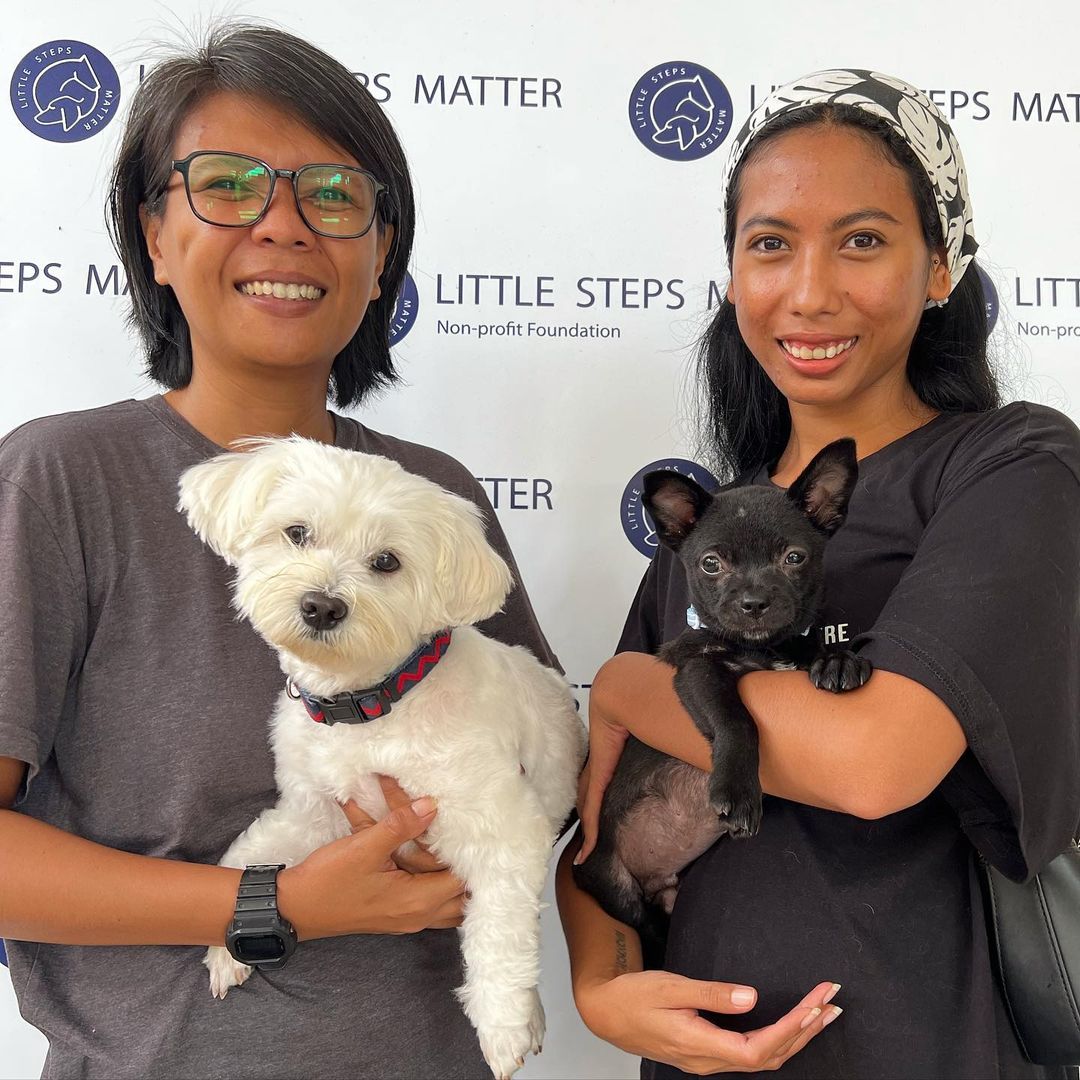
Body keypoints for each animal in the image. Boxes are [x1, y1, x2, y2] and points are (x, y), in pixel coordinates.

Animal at [179, 434, 583, 1075]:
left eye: (387, 562)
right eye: (297, 532)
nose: (321, 606)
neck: (372, 707)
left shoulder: (503, 829)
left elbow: (499, 934)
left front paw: (501, 1025)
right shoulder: (313, 810)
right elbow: (252, 850)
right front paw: (227, 944)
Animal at [574, 438, 868, 946]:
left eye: (795, 557)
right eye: (711, 564)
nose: (754, 603)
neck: (763, 647)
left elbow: (813, 647)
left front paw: (837, 659)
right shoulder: (697, 670)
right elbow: (737, 719)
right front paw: (738, 789)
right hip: (614, 885)